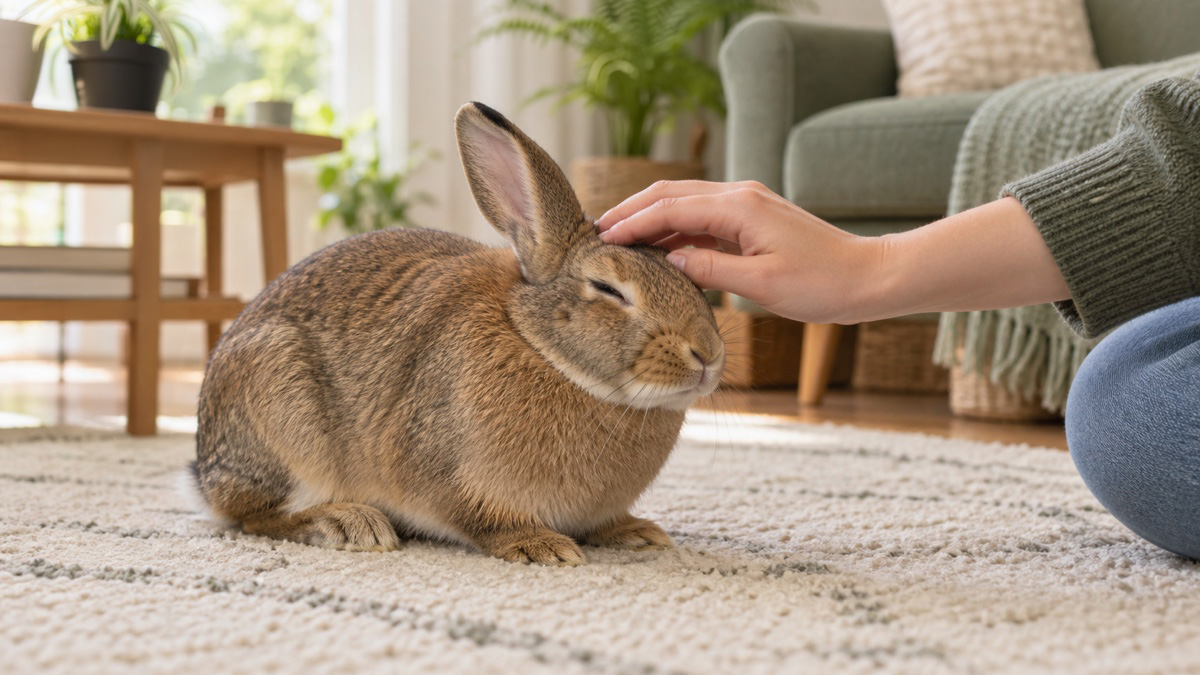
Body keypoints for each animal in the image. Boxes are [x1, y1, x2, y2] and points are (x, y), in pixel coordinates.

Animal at [188, 102, 725, 565]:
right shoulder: (450, 476)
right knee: (255, 517)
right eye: (607, 288)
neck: (540, 346)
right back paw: (348, 524)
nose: (708, 355)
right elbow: (483, 520)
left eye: (692, 283)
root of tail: (205, 471)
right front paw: (542, 547)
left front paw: (635, 532)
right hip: (284, 415)